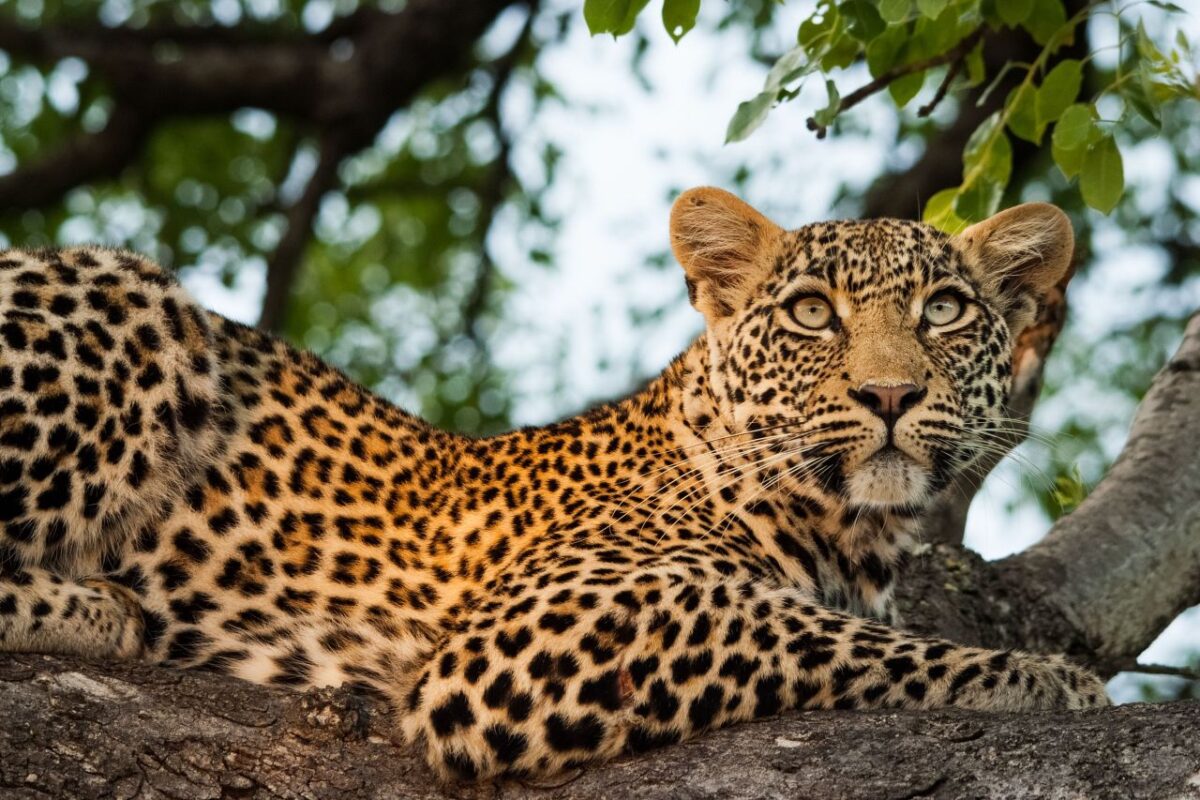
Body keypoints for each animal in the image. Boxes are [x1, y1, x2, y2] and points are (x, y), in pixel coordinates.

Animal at [0, 188, 1104, 782]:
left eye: (946, 309)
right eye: (811, 313)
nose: (888, 394)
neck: (853, 534)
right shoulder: (531, 633)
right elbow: (826, 635)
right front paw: (1043, 680)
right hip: (137, 297)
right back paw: (107, 609)